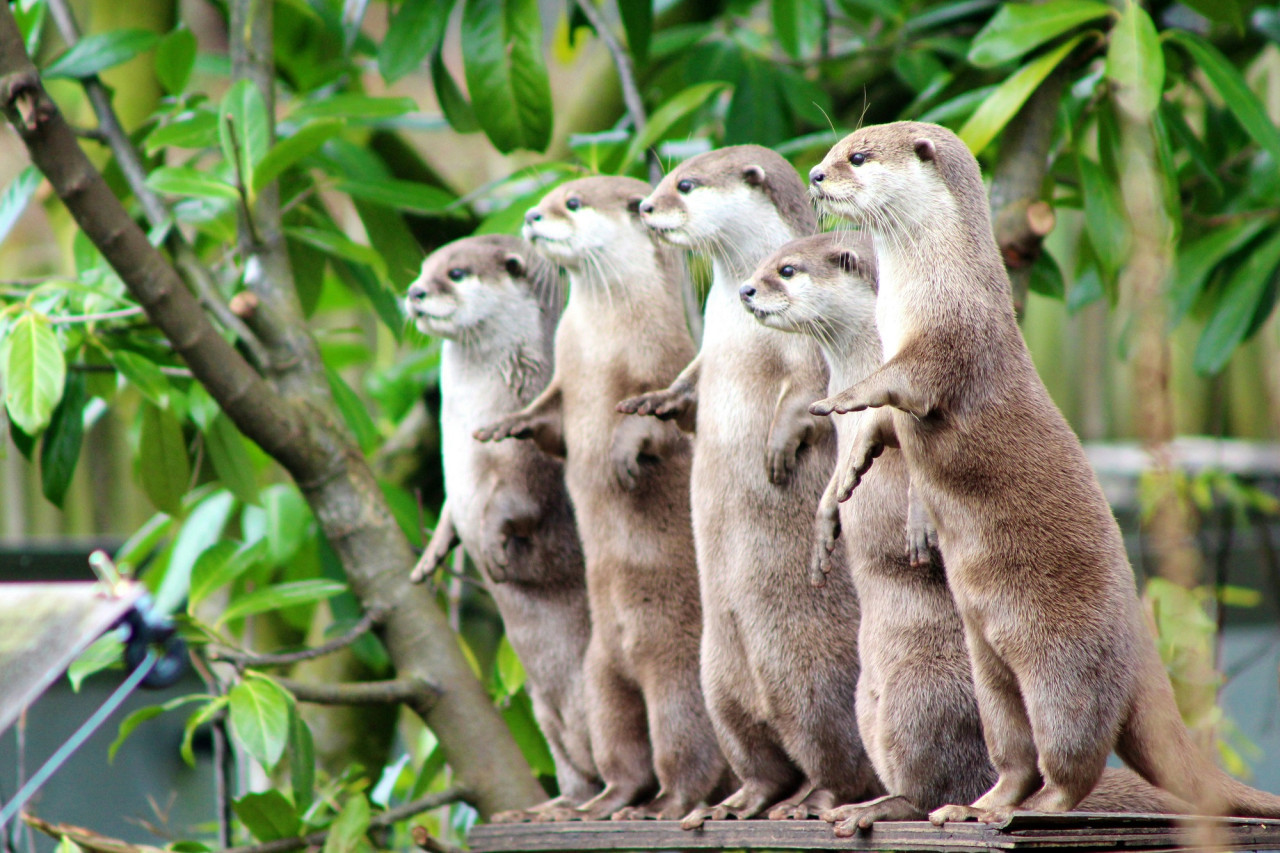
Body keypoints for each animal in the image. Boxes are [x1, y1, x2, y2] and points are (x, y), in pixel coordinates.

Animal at [401, 233, 596, 819]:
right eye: (425, 267)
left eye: (456, 273)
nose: (415, 292)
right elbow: (449, 508)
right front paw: (431, 556)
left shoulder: (525, 451)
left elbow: (515, 505)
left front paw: (491, 551)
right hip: (546, 712)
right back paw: (550, 808)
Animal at [476, 175, 732, 819]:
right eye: (550, 196)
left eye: (572, 203)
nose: (531, 215)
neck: (597, 340)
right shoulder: (565, 376)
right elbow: (547, 419)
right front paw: (506, 425)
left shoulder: (656, 358)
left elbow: (653, 418)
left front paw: (623, 454)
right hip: (600, 680)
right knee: (622, 754)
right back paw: (604, 803)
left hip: (676, 678)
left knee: (686, 753)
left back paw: (667, 807)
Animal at [616, 146, 880, 824]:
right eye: (662, 178)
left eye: (684, 184)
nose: (646, 207)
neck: (737, 334)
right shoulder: (706, 354)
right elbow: (687, 385)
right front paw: (653, 406)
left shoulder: (810, 356)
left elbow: (809, 397)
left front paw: (778, 448)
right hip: (716, 678)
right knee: (758, 756)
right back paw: (735, 803)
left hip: (809, 678)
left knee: (836, 758)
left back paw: (813, 803)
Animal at [742, 230, 1198, 829]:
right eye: (768, 261)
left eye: (788, 270)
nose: (746, 290)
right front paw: (827, 518)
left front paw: (917, 524)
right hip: (867, 700)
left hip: (921, 693)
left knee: (932, 784)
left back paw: (880, 808)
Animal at [803, 119, 1280, 819]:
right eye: (835, 150)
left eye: (857, 156)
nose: (815, 175)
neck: (924, 289)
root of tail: (1141, 647)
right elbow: (884, 428)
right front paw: (848, 472)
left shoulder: (950, 337)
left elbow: (901, 384)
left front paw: (840, 399)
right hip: (987, 667)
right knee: (1014, 753)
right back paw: (976, 806)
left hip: (1064, 668)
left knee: (1073, 755)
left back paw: (1028, 810)